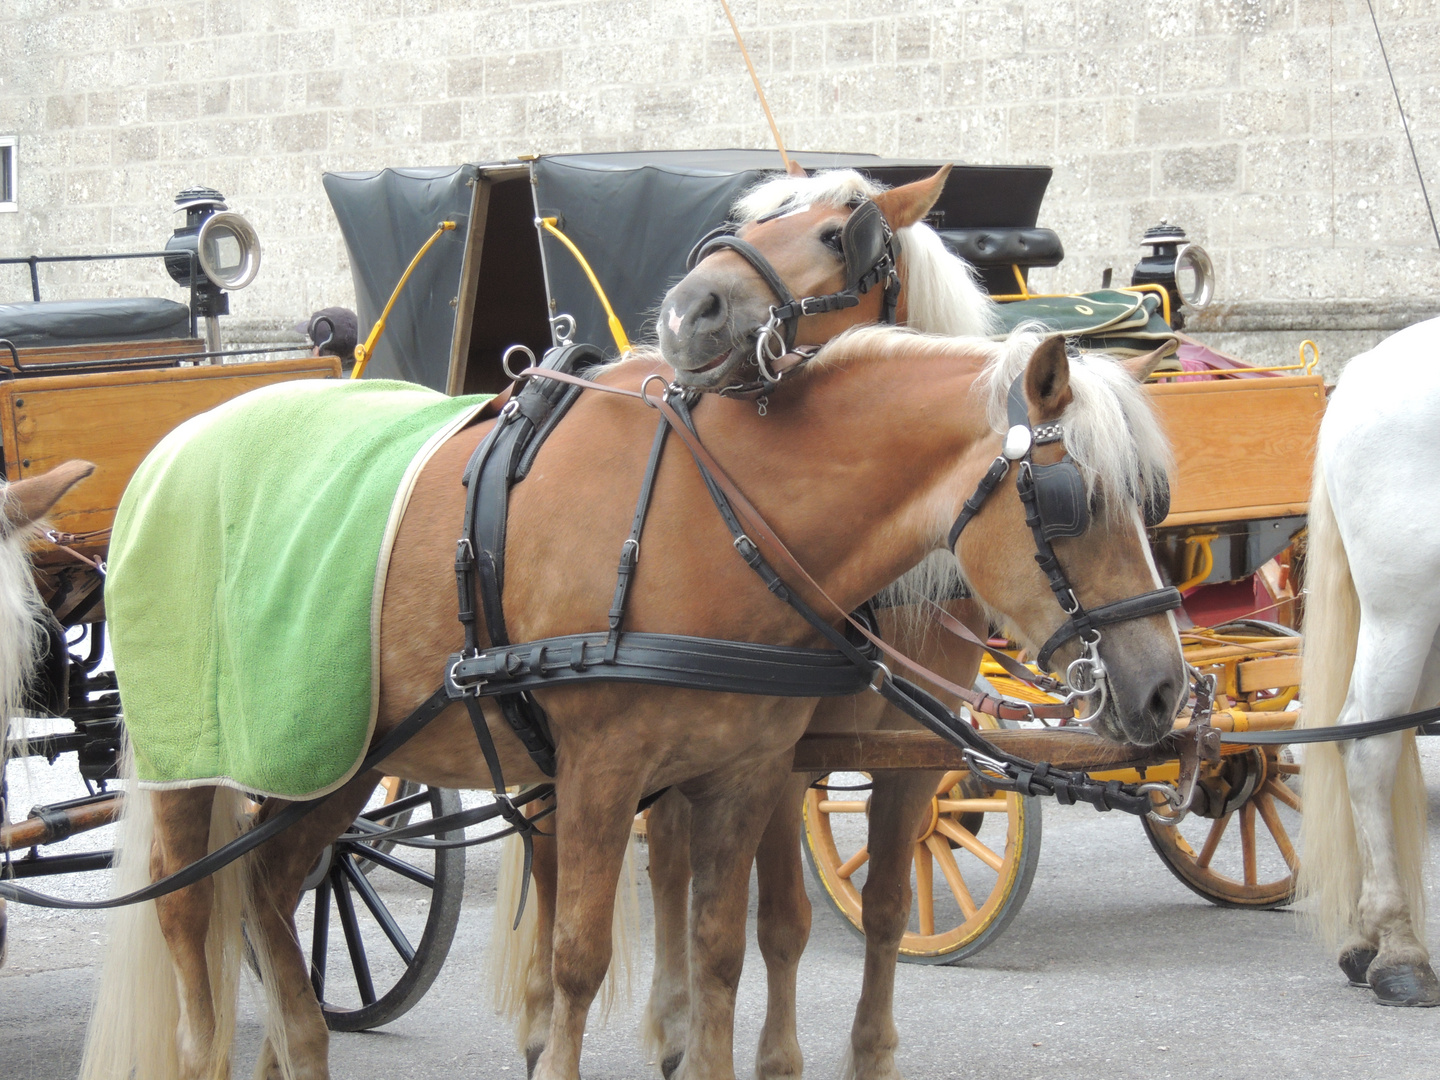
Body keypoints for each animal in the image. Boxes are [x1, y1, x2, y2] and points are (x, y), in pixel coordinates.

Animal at [75, 328, 1180, 1080]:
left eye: (1150, 500)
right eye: (1074, 501)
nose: (1166, 686)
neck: (711, 515)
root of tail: (173, 447)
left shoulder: (744, 772)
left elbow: (727, 949)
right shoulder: (604, 774)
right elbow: (577, 957)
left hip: (333, 758)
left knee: (271, 883)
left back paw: (297, 1045)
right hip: (202, 755)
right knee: (188, 903)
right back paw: (214, 1050)